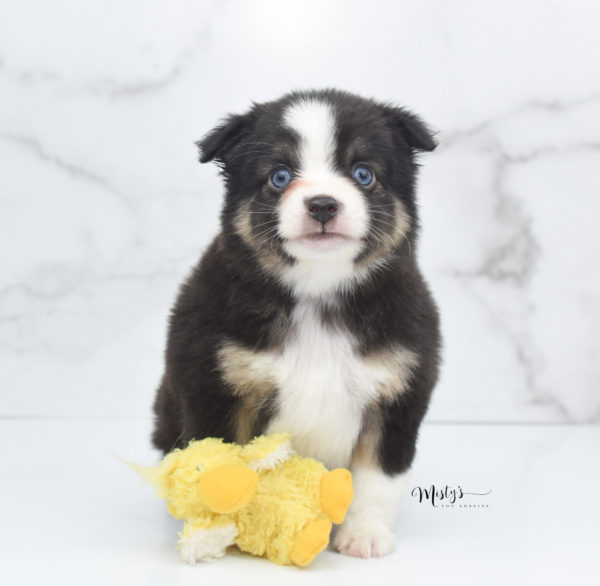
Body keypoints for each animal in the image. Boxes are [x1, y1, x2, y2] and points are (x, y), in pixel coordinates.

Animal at [150, 86, 440, 556]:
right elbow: (218, 468)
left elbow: (377, 478)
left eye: (363, 174)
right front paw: (213, 535)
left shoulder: (398, 393)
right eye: (280, 176)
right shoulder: (213, 385)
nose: (323, 205)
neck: (317, 295)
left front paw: (364, 535)